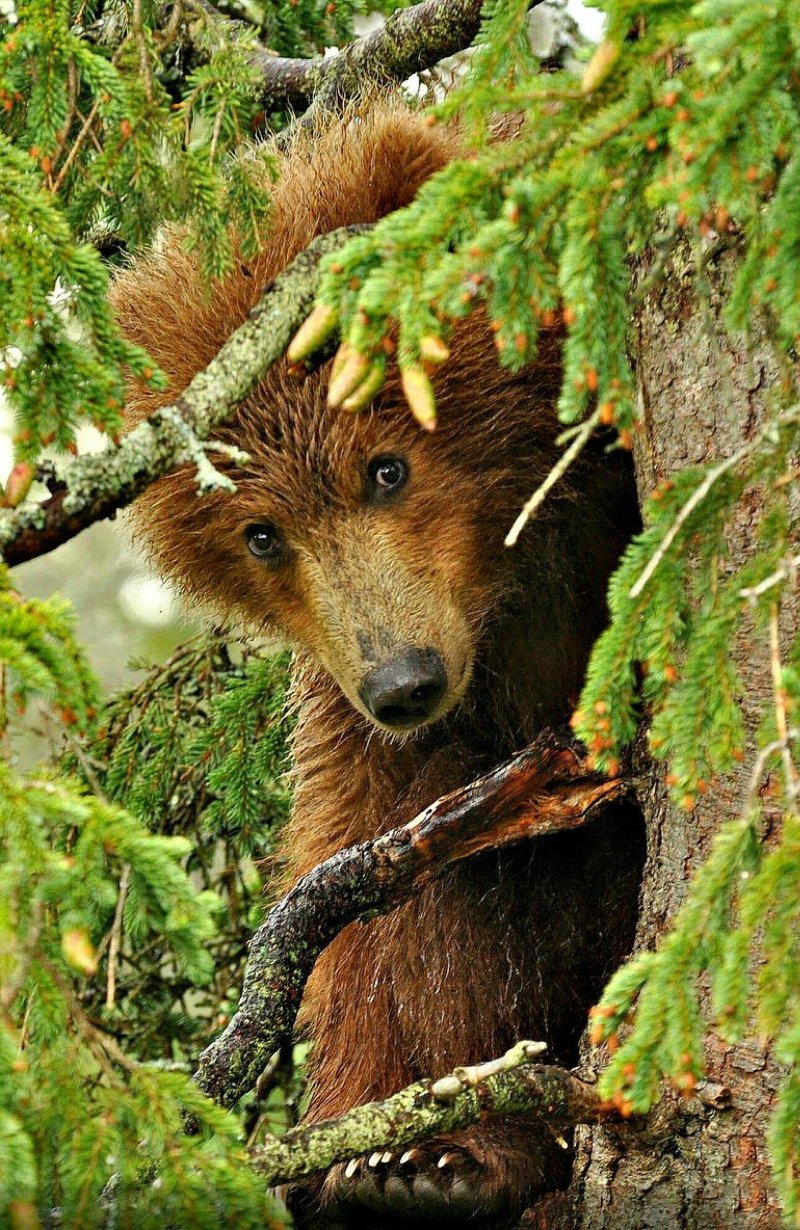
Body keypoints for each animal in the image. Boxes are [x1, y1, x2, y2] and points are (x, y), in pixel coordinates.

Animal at [112, 105, 644, 1230]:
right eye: (261, 534)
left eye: (387, 466)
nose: (405, 682)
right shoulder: (386, 729)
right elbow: (383, 920)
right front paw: (394, 1149)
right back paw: (440, 1163)